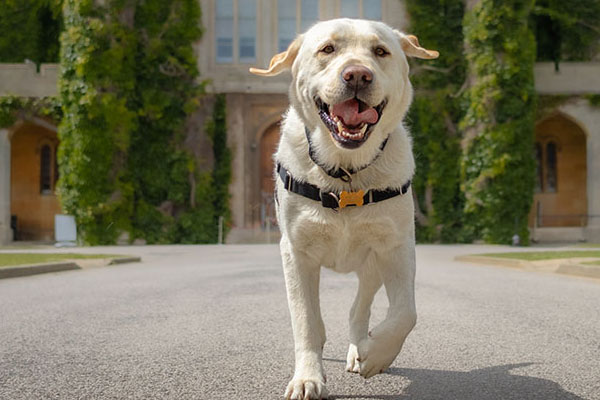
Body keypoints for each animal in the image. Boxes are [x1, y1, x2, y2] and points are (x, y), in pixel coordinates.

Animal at [248, 18, 436, 400]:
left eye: (380, 51)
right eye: (327, 49)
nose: (357, 76)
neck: (346, 171)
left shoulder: (397, 246)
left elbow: (406, 313)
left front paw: (376, 355)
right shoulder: (296, 254)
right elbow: (306, 322)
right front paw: (307, 377)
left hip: (372, 266)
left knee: (358, 310)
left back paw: (361, 349)